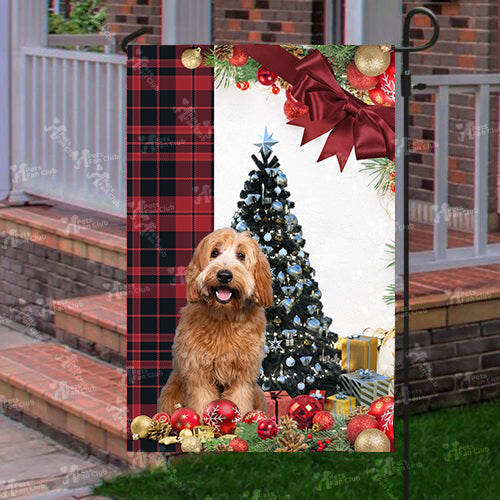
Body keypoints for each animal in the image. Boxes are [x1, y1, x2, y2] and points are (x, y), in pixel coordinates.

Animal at [157, 227, 272, 418]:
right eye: (214, 253)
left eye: (241, 255)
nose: (224, 275)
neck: (224, 316)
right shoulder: (198, 374)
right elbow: (202, 402)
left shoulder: (243, 377)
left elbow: (239, 401)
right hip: (171, 393)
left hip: (258, 393)